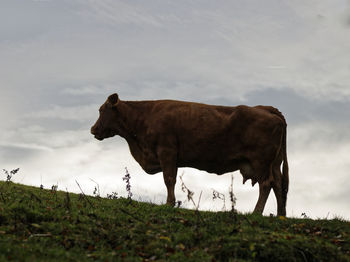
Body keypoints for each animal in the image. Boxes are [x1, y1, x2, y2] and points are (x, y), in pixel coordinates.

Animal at [91, 93, 290, 216]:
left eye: (102, 110)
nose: (93, 129)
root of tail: (265, 108)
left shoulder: (167, 152)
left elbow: (169, 179)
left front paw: (169, 203)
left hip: (261, 162)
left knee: (266, 184)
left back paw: (257, 212)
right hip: (274, 164)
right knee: (279, 185)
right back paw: (280, 215)